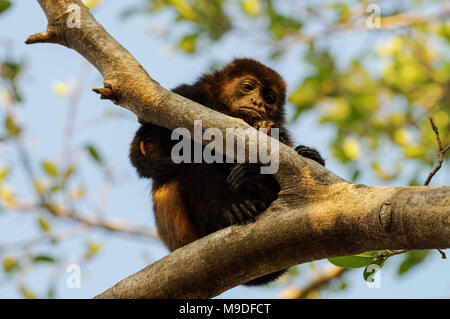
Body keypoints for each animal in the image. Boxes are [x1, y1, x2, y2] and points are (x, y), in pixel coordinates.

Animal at [129, 58, 324, 286]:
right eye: (248, 87)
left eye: (269, 97)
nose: (258, 103)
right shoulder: (186, 94)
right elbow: (151, 145)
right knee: (194, 165)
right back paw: (236, 208)